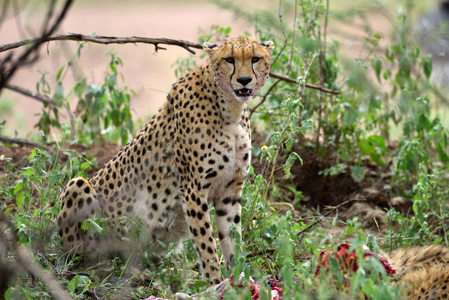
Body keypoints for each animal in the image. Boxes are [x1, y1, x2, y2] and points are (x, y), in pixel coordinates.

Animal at [56, 37, 272, 284]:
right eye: (229, 59)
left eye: (255, 58)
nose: (244, 80)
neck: (230, 109)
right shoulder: (192, 189)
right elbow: (206, 242)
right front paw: (215, 282)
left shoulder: (230, 190)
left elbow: (232, 238)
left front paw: (239, 278)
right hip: (78, 188)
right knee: (91, 258)